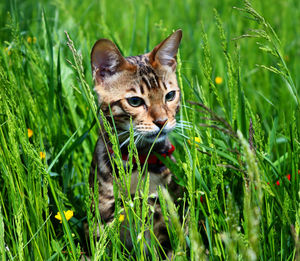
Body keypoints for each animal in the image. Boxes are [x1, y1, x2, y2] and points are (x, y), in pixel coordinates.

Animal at [88, 29, 183, 256]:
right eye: (135, 101)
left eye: (170, 95)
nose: (162, 121)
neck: (137, 163)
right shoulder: (102, 218)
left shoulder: (163, 214)